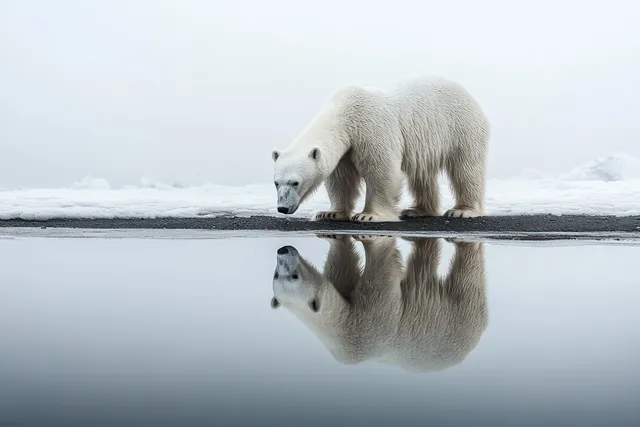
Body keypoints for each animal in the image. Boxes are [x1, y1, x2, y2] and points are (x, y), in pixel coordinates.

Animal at [269, 235, 488, 373]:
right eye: (279, 274)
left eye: (293, 276)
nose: (283, 249)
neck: (343, 328)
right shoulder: (372, 320)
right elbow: (382, 275)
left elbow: (343, 265)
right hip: (459, 314)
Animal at [271, 74, 490, 222]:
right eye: (276, 183)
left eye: (295, 182)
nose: (282, 208)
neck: (346, 112)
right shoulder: (345, 150)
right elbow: (341, 180)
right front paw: (330, 213)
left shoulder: (371, 128)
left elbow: (381, 170)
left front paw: (368, 215)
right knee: (421, 175)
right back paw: (417, 210)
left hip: (460, 129)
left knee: (465, 169)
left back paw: (462, 210)